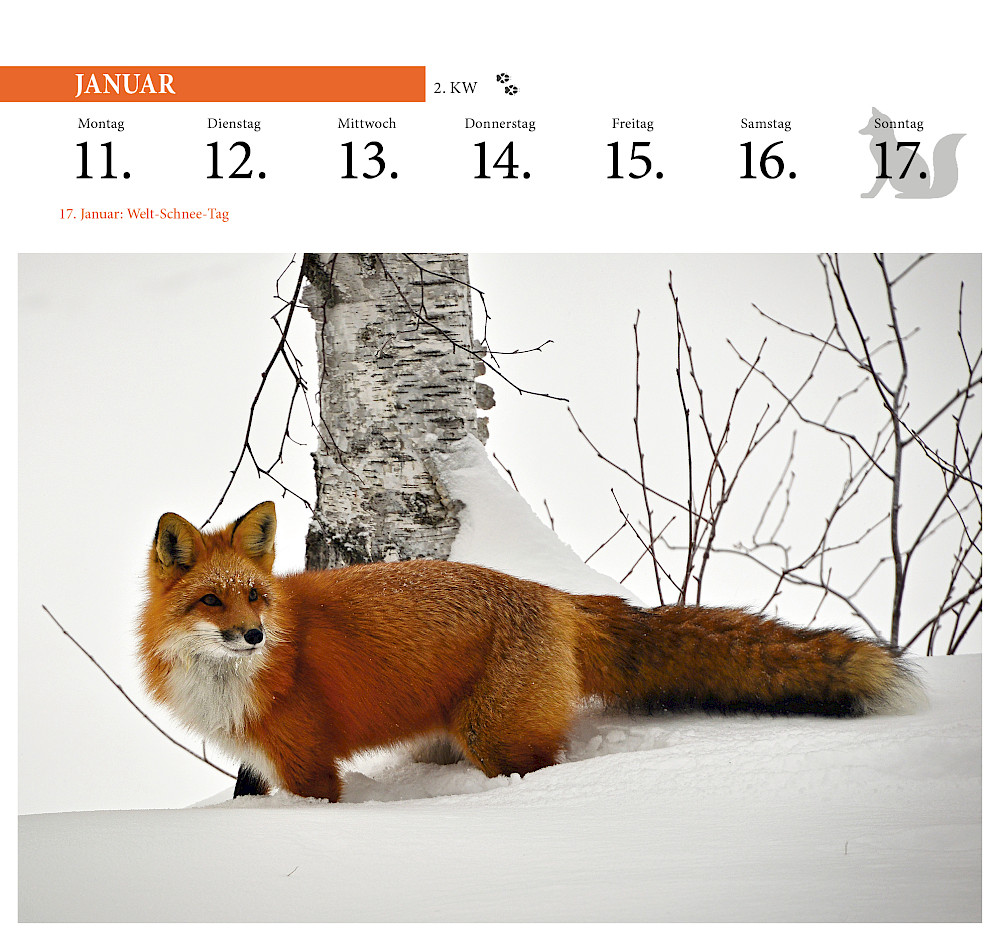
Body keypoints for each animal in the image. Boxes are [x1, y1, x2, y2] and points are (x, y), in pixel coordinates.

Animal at [137, 501, 917, 803]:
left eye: (255, 597)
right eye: (212, 602)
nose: (254, 635)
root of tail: (555, 594)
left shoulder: (309, 769)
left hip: (497, 736)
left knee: (548, 770)